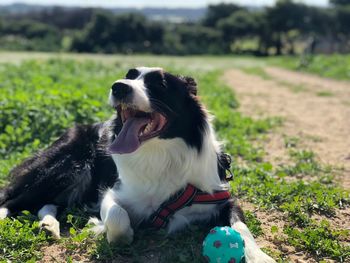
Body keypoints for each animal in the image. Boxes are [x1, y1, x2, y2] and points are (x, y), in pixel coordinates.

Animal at [0, 67, 274, 262]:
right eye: (127, 76)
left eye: (159, 84)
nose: (117, 87)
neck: (160, 153)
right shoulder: (113, 193)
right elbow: (118, 218)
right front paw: (116, 232)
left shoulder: (221, 197)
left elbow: (241, 228)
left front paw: (259, 256)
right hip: (65, 168)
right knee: (13, 199)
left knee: (47, 203)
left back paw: (49, 225)